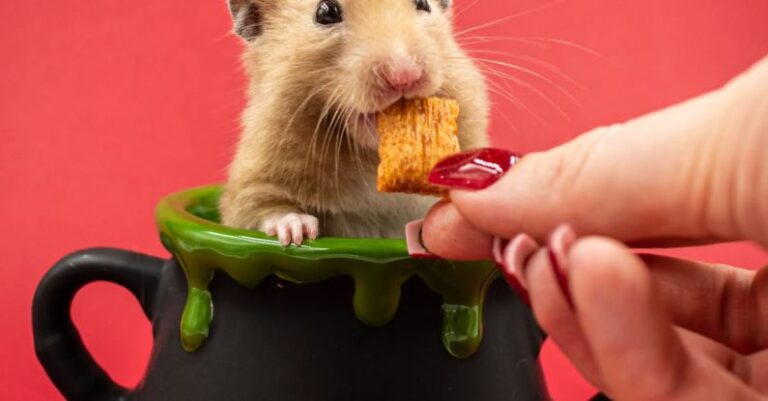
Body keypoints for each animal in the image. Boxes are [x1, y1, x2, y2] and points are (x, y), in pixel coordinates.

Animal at [219, 0, 488, 244]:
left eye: (423, 3)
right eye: (325, 12)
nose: (404, 76)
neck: (371, 157)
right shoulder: (254, 179)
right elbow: (260, 208)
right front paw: (298, 232)